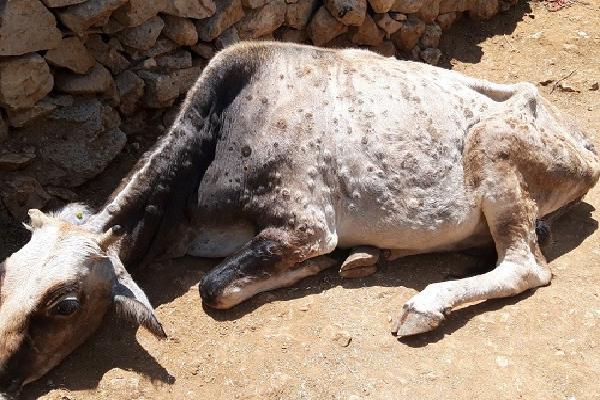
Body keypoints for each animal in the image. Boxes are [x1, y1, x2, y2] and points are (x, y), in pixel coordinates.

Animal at [1, 42, 600, 396]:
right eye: (4, 274)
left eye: (65, 304)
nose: (4, 377)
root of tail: (580, 142)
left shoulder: (306, 225)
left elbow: (214, 288)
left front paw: (313, 268)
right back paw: (368, 255)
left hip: (494, 146)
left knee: (525, 265)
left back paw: (420, 304)